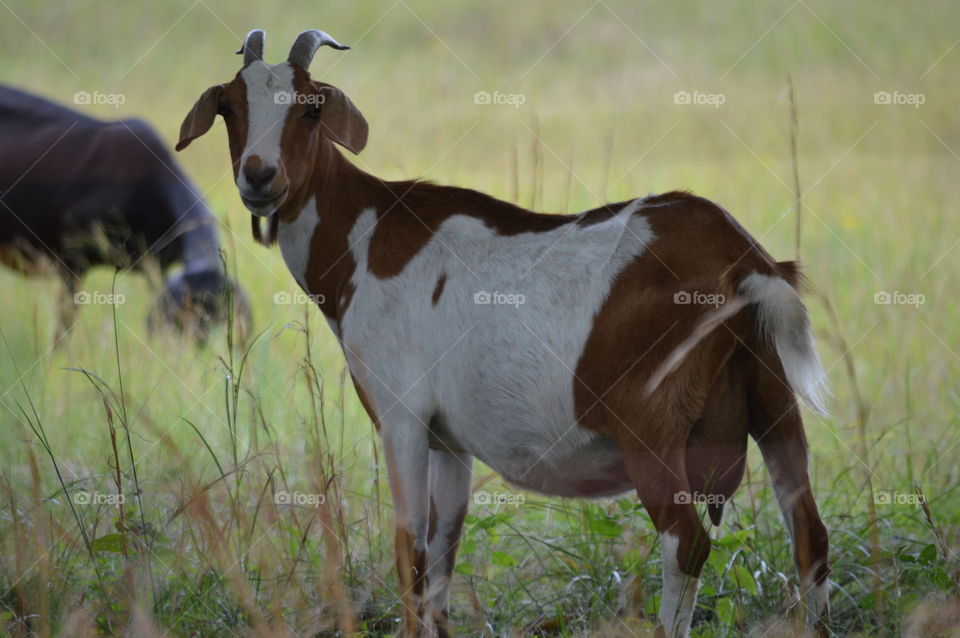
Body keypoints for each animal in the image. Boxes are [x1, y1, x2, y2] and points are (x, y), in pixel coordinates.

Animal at [178, 29, 831, 637]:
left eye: (311, 108)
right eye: (229, 108)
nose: (259, 176)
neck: (363, 234)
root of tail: (741, 259)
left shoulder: (401, 413)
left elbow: (408, 546)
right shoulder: (448, 439)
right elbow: (442, 550)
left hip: (651, 424)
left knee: (685, 542)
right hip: (772, 397)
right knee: (810, 534)